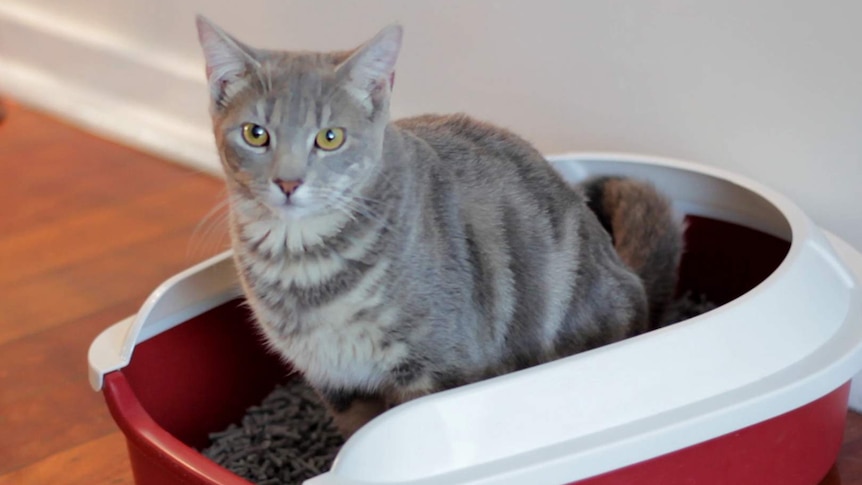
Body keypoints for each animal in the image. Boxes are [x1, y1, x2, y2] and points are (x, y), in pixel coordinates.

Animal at [196, 17, 680, 436]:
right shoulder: (337, 382)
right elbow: (355, 434)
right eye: (255, 134)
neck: (304, 271)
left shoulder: (437, 367)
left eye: (330, 137)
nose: (288, 182)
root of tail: (628, 274)